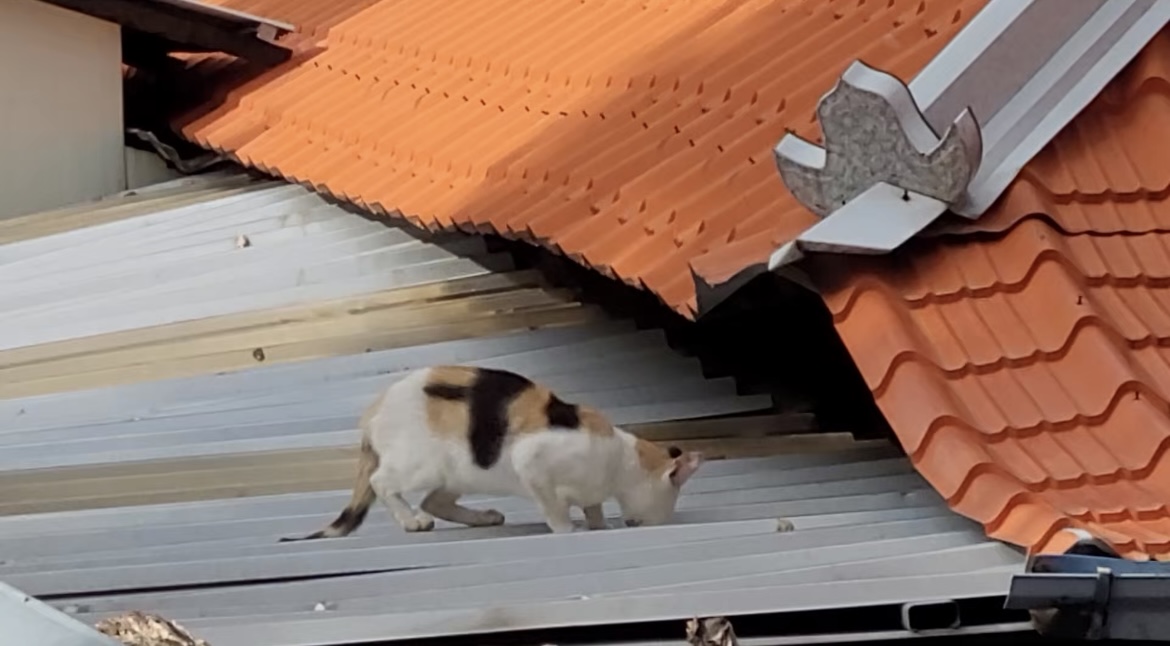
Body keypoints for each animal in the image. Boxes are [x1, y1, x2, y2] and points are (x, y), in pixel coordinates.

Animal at [281, 365, 704, 540]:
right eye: (669, 503)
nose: (657, 523)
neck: (618, 460)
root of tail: (373, 412)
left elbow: (593, 506)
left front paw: (599, 525)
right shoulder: (531, 460)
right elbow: (555, 508)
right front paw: (568, 530)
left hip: (460, 471)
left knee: (435, 501)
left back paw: (483, 517)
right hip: (422, 464)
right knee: (382, 482)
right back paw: (412, 521)